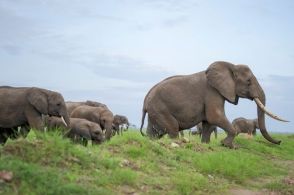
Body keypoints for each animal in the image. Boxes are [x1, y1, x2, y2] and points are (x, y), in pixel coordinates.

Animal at [139, 61, 288, 148]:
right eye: (248, 81)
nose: (280, 142)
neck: (230, 66)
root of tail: (145, 101)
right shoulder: (212, 92)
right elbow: (215, 116)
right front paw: (228, 145)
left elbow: (209, 123)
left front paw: (206, 144)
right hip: (160, 109)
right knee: (173, 128)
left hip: (155, 110)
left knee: (154, 132)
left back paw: (151, 140)